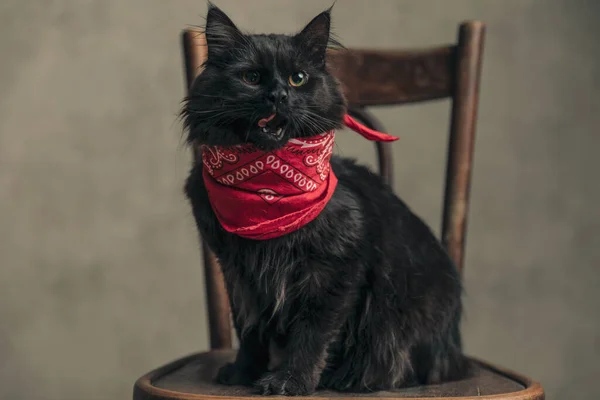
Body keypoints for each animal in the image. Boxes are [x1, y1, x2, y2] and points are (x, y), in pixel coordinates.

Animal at [180, 3, 466, 396]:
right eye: (251, 78)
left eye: (298, 79)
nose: (278, 96)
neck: (269, 197)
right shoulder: (238, 273)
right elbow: (249, 331)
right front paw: (245, 373)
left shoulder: (333, 271)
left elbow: (312, 335)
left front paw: (291, 380)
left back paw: (351, 378)